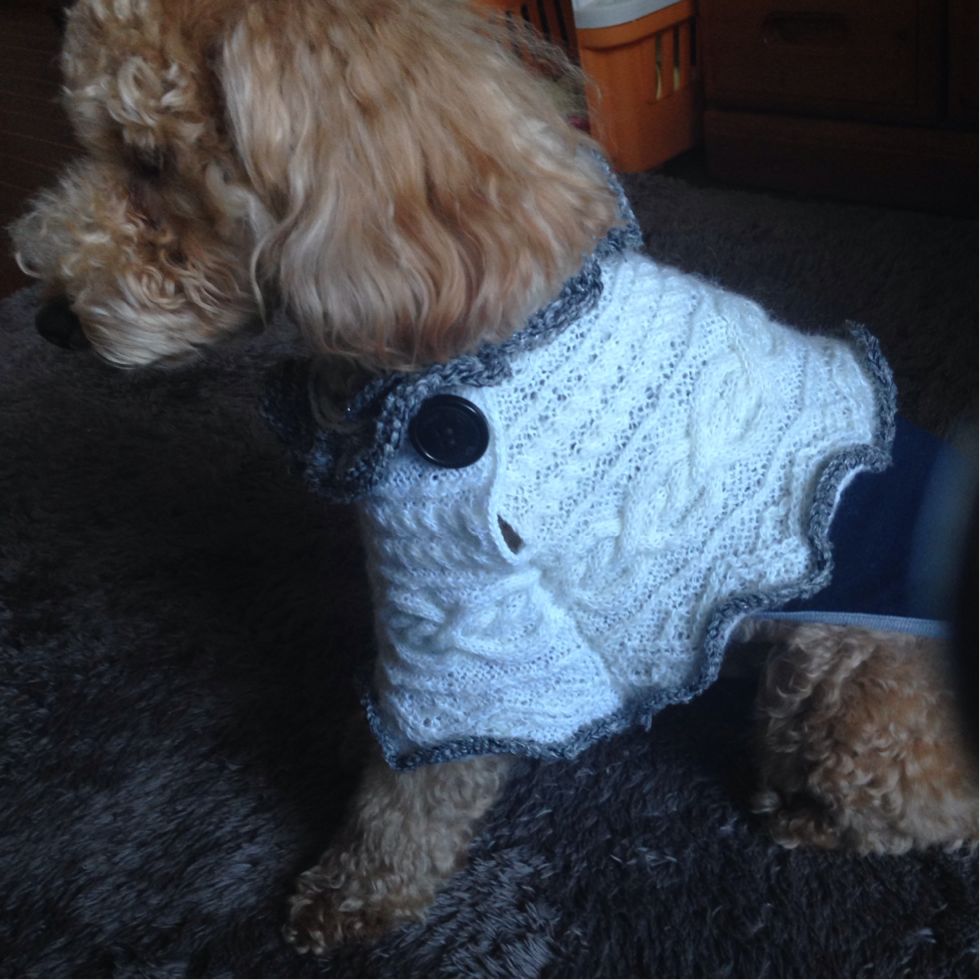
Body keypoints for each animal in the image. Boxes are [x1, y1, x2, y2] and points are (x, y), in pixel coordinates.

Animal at [11, 0, 976, 956]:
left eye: (151, 160)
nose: (50, 322)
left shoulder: (463, 614)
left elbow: (418, 786)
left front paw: (356, 890)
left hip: (850, 700)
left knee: (935, 807)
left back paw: (801, 815)